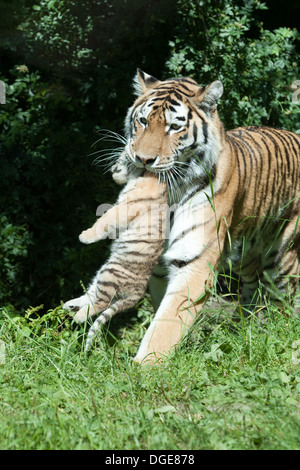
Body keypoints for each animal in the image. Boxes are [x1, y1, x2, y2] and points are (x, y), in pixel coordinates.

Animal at [120, 70, 298, 364]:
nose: (143, 159)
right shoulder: (159, 269)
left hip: (283, 255)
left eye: (174, 127)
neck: (172, 192)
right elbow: (162, 312)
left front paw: (144, 367)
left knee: (285, 299)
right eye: (143, 121)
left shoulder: (194, 261)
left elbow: (166, 325)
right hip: (245, 253)